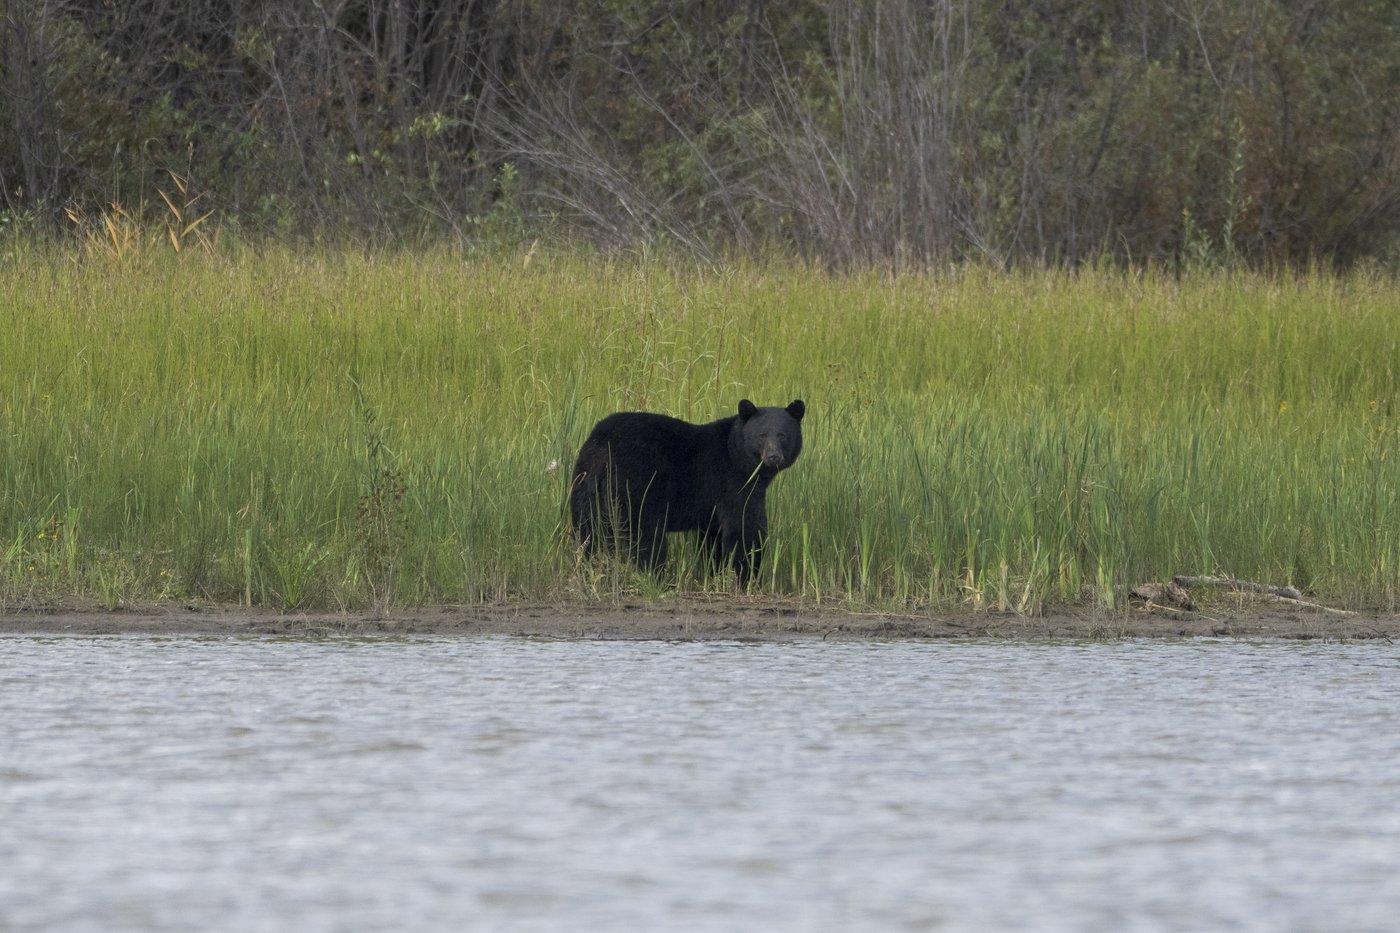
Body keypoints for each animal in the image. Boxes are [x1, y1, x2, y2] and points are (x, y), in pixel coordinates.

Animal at [569, 399, 805, 584]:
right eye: (762, 435)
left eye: (783, 435)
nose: (773, 456)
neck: (735, 454)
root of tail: (602, 447)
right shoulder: (733, 483)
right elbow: (745, 529)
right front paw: (748, 579)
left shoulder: (712, 509)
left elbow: (713, 540)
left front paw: (715, 575)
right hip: (636, 488)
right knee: (645, 538)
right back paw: (655, 578)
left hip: (584, 486)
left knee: (587, 534)